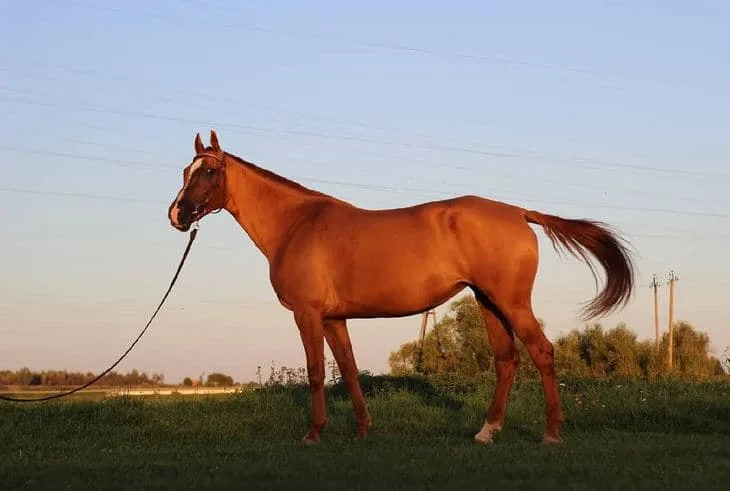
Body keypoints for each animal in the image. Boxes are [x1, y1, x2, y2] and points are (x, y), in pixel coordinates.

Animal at [168, 130, 636, 445]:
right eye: (186, 170)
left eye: (211, 171)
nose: (177, 214)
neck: (298, 224)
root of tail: (519, 212)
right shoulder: (335, 317)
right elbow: (349, 370)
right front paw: (363, 428)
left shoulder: (308, 313)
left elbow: (317, 372)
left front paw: (314, 433)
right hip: (488, 302)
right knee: (507, 361)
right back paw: (486, 431)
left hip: (512, 302)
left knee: (542, 352)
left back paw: (551, 433)